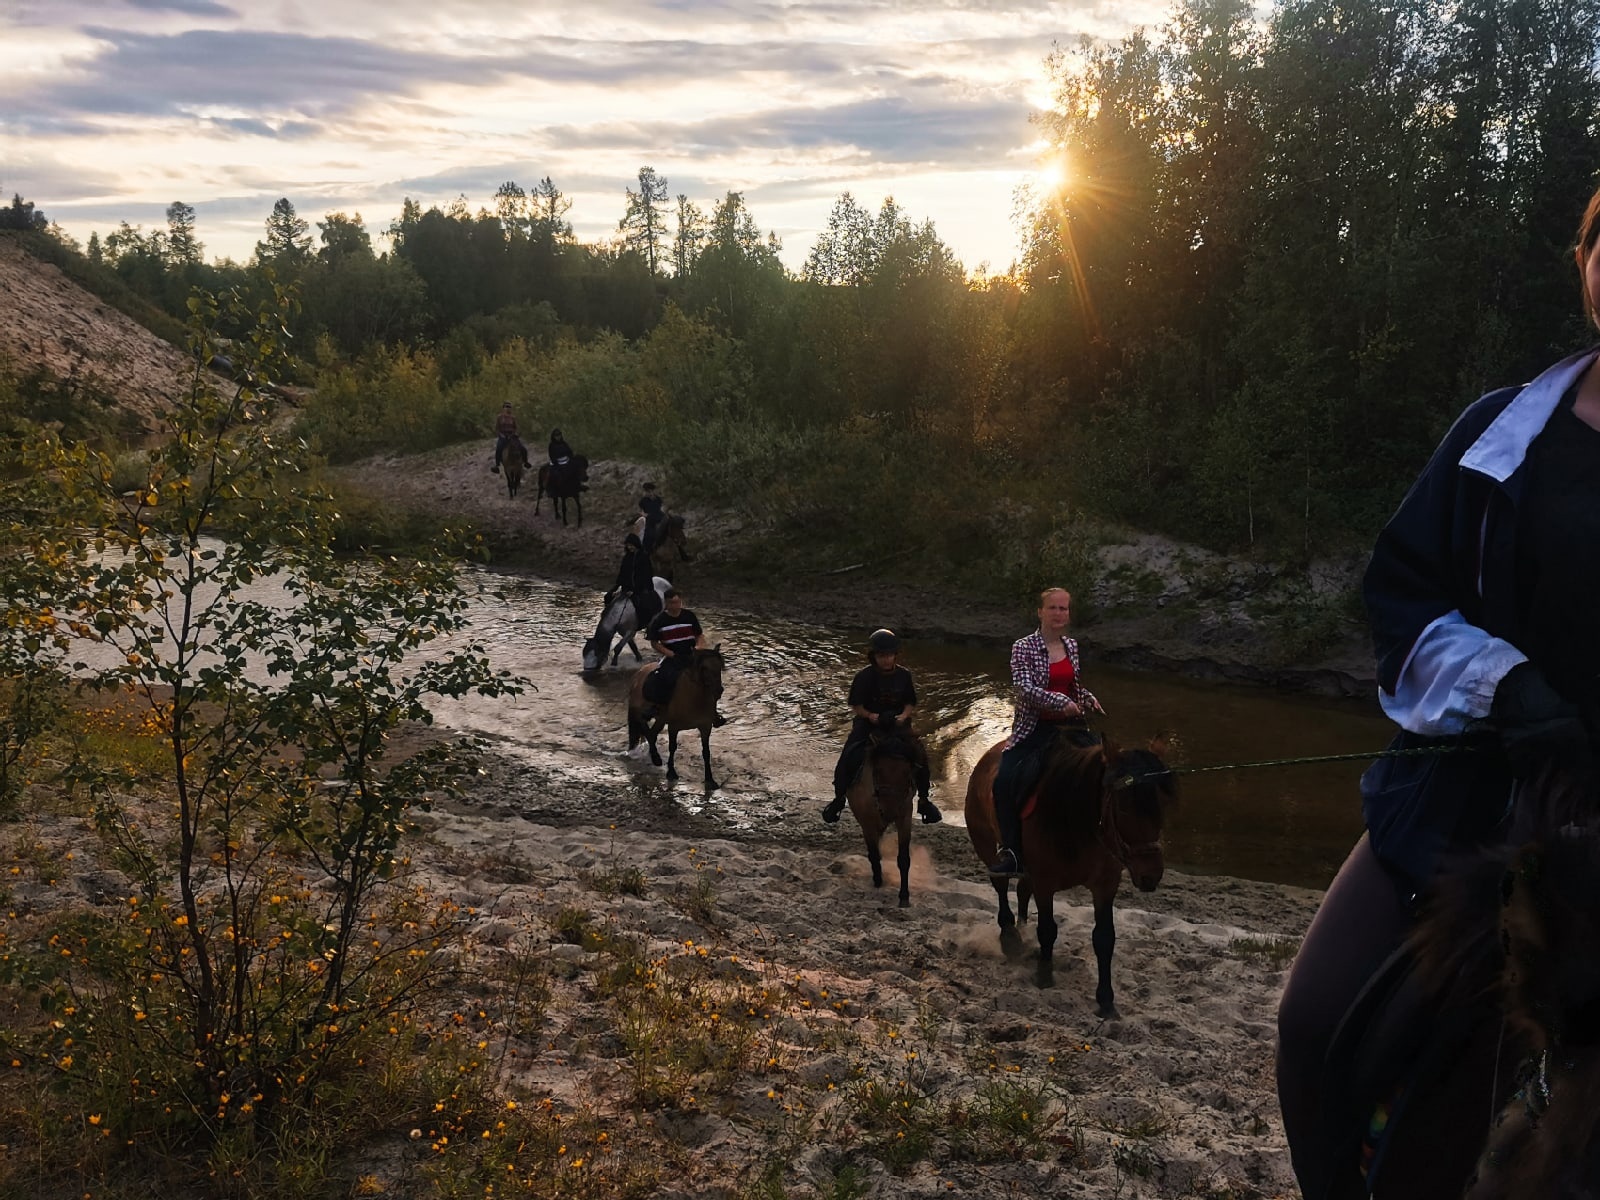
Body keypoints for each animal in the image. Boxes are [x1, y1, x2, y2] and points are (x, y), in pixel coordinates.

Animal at [624, 643, 726, 793]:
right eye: (704, 668)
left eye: (719, 666)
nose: (719, 691)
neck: (694, 698)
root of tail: (639, 673)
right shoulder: (674, 726)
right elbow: (672, 747)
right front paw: (671, 773)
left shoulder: (705, 727)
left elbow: (706, 752)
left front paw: (710, 780)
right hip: (642, 712)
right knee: (645, 728)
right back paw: (656, 759)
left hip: (660, 719)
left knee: (651, 734)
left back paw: (654, 757)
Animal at [844, 732, 921, 908]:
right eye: (878, 770)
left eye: (907, 772)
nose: (889, 810)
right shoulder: (867, 823)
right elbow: (873, 854)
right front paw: (878, 881)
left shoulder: (904, 817)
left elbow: (904, 859)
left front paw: (904, 897)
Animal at [960, 732, 1177, 1017]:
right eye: (1123, 808)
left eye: (1163, 803)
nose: (1150, 874)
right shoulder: (1045, 883)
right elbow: (1047, 930)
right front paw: (1044, 976)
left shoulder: (1105, 885)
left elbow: (1104, 938)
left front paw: (1105, 999)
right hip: (986, 844)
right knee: (1001, 885)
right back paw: (1009, 931)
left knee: (1022, 890)